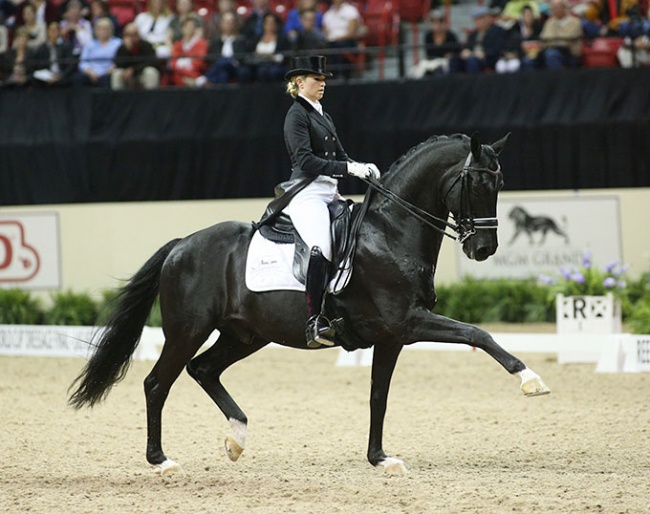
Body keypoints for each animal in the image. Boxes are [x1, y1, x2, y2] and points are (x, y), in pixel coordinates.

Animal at [69, 131, 548, 472]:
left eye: (501, 183)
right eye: (476, 182)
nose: (484, 248)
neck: (392, 231)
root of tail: (182, 244)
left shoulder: (392, 336)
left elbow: (378, 396)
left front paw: (380, 459)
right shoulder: (410, 321)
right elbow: (479, 333)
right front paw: (531, 380)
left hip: (246, 335)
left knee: (203, 369)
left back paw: (236, 439)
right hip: (188, 330)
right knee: (157, 383)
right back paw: (162, 461)